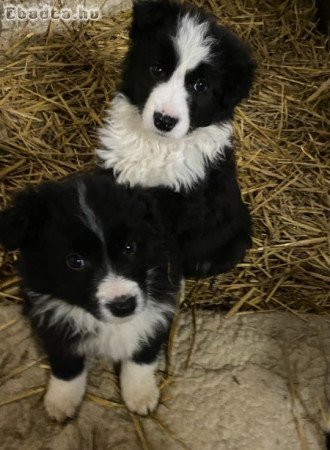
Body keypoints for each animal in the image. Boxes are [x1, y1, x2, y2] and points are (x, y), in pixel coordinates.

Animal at [0, 172, 182, 422]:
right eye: (75, 261)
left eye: (130, 247)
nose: (123, 306)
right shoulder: (51, 320)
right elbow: (66, 364)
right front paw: (61, 401)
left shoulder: (159, 310)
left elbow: (143, 354)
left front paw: (141, 394)